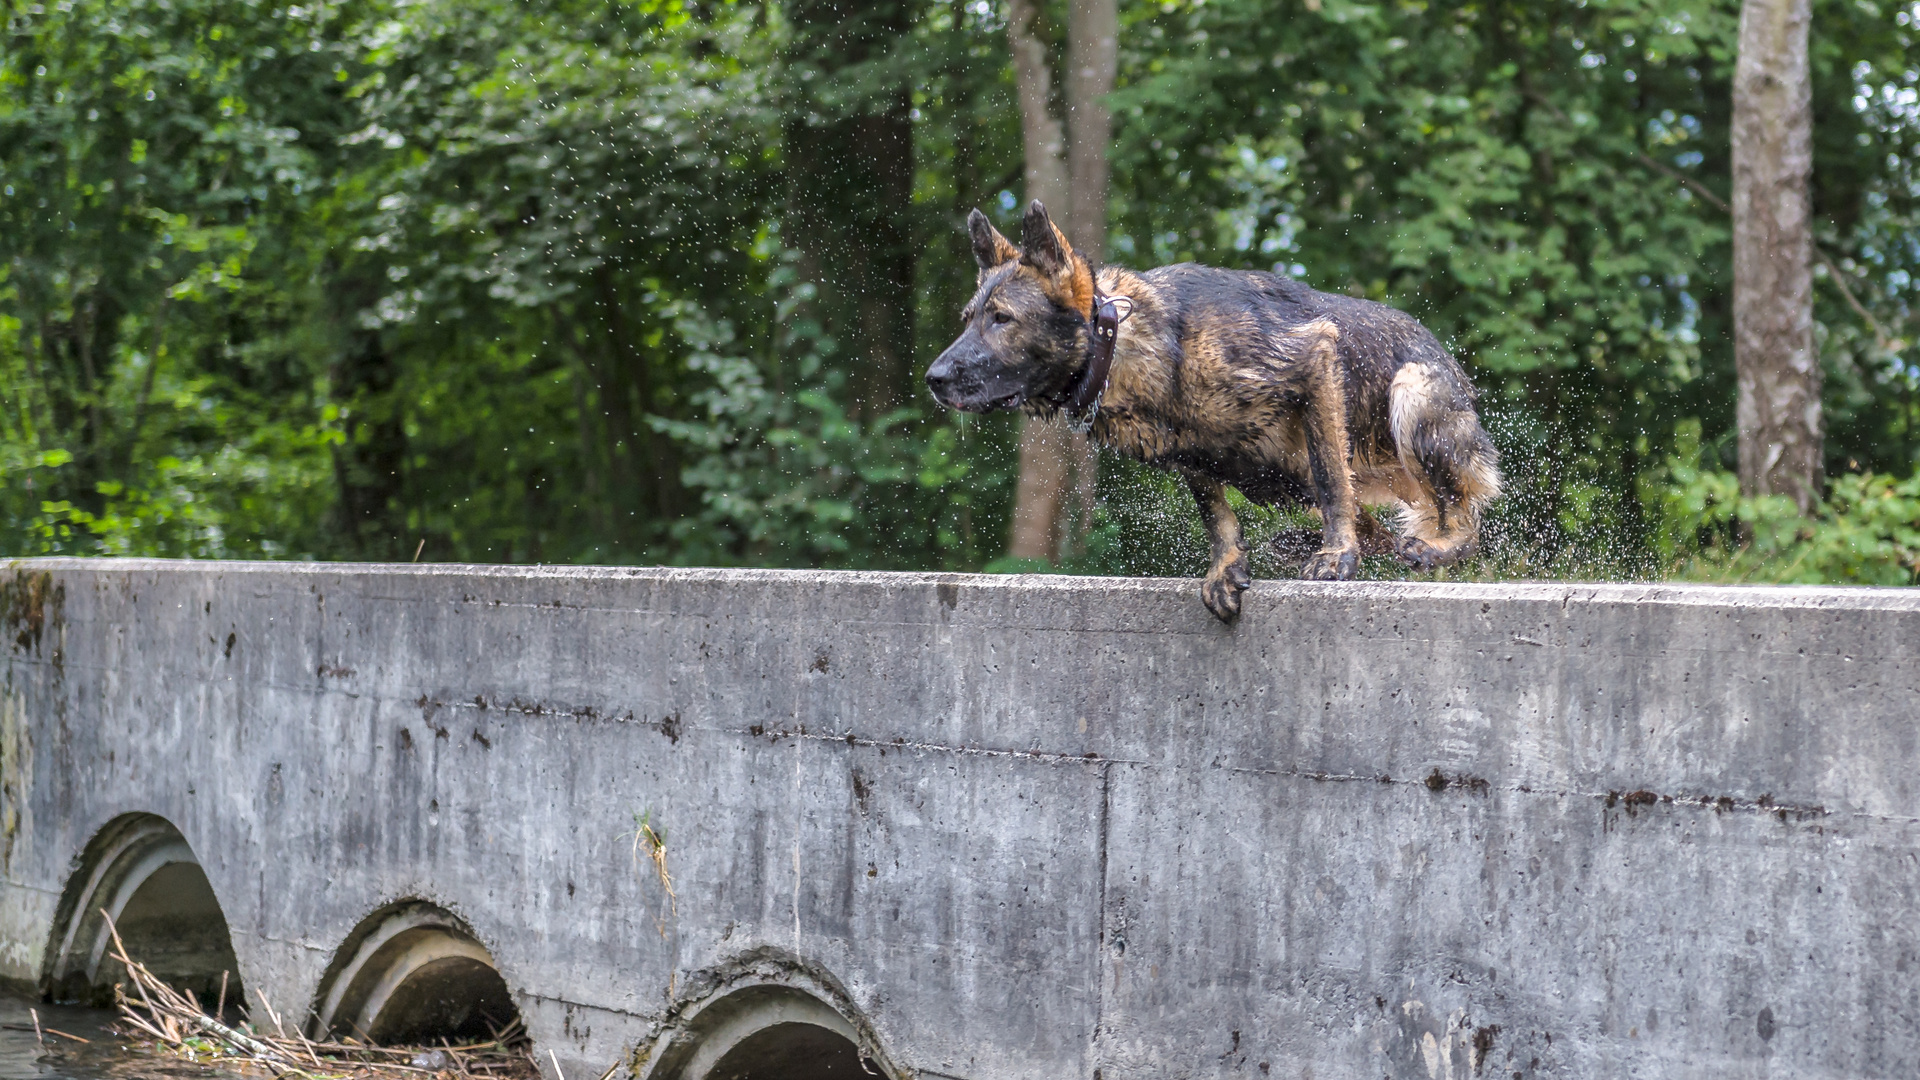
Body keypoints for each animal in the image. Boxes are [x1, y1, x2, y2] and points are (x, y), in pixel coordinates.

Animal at [925, 202, 1497, 622]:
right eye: (969, 318)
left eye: (1002, 319)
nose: (932, 379)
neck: (1117, 341)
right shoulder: (1192, 454)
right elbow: (1217, 517)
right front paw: (1226, 567)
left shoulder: (1315, 360)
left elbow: (1333, 478)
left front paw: (1335, 556)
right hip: (1293, 477)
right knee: (1380, 530)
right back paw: (1302, 543)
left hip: (1410, 393)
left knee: (1462, 521)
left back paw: (1433, 546)